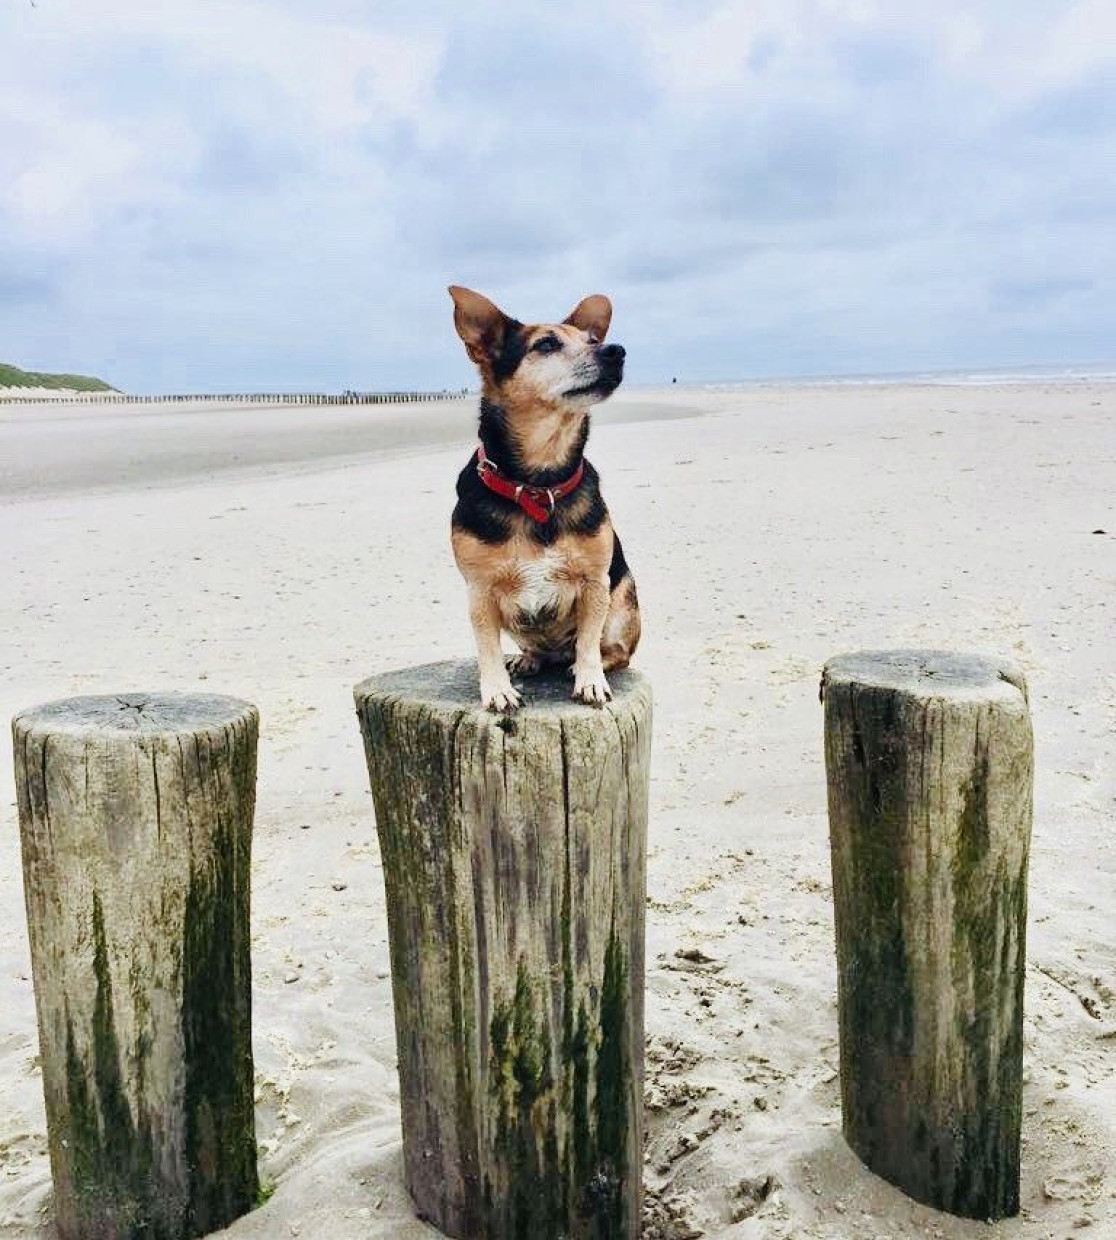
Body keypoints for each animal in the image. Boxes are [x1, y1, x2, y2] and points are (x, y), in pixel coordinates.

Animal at [448, 282, 639, 709]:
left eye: (592, 340)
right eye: (546, 344)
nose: (615, 351)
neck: (540, 481)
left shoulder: (596, 584)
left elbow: (588, 641)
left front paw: (590, 680)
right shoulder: (479, 591)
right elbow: (486, 646)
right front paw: (497, 689)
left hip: (624, 600)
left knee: (612, 651)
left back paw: (580, 664)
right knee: (534, 648)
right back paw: (529, 660)